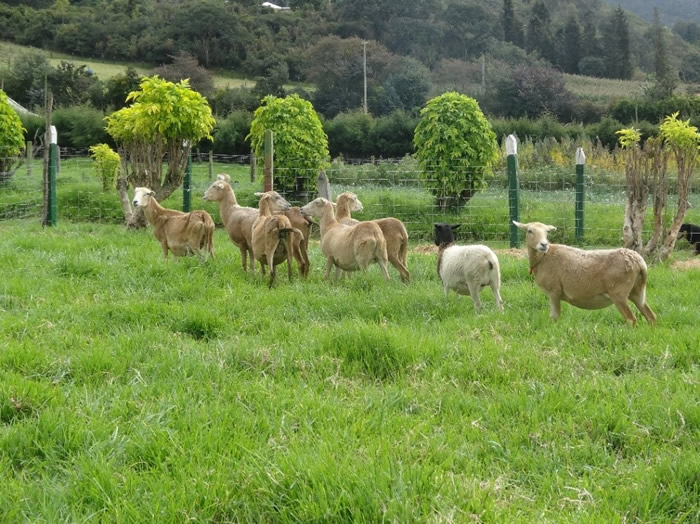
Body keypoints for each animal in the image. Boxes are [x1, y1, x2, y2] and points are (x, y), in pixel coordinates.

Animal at [516, 220, 656, 326]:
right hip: (636, 291)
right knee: (651, 316)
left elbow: (554, 317)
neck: (543, 258)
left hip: (619, 293)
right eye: (530, 231)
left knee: (631, 319)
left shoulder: (554, 291)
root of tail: (639, 262)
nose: (544, 244)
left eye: (547, 232)